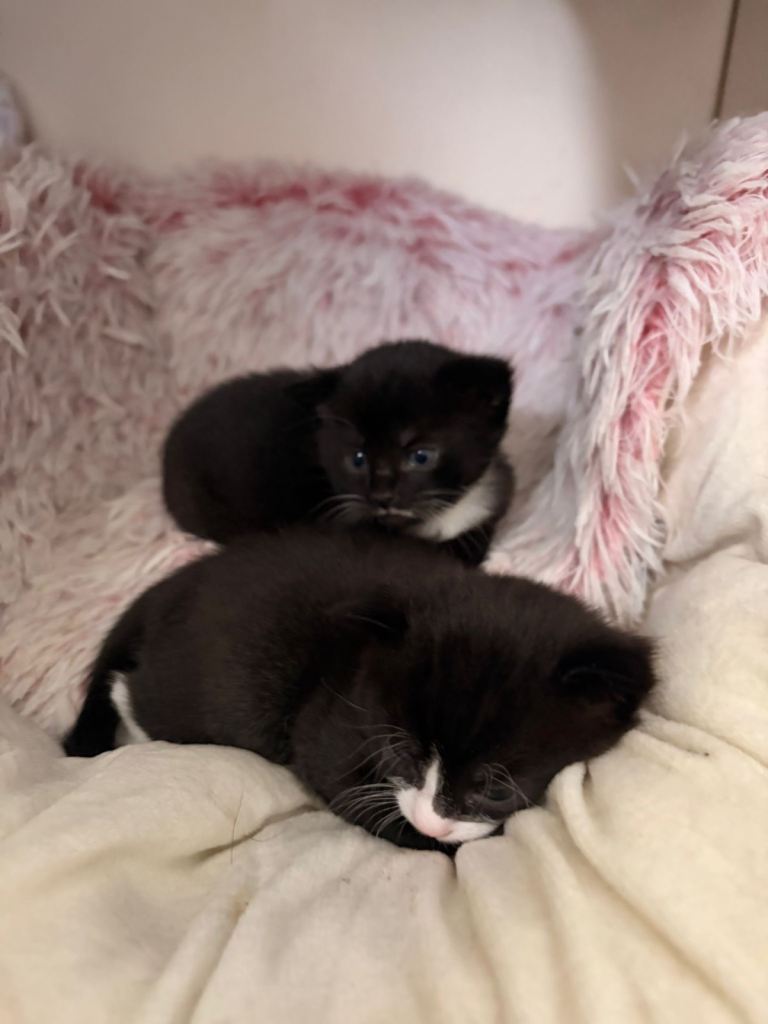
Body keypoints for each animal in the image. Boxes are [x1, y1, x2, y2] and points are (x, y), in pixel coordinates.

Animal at [64, 528, 655, 852]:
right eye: (401, 755)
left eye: (494, 788)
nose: (432, 818)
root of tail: (166, 589)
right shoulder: (328, 719)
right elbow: (352, 790)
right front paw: (424, 833)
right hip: (209, 688)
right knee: (132, 691)